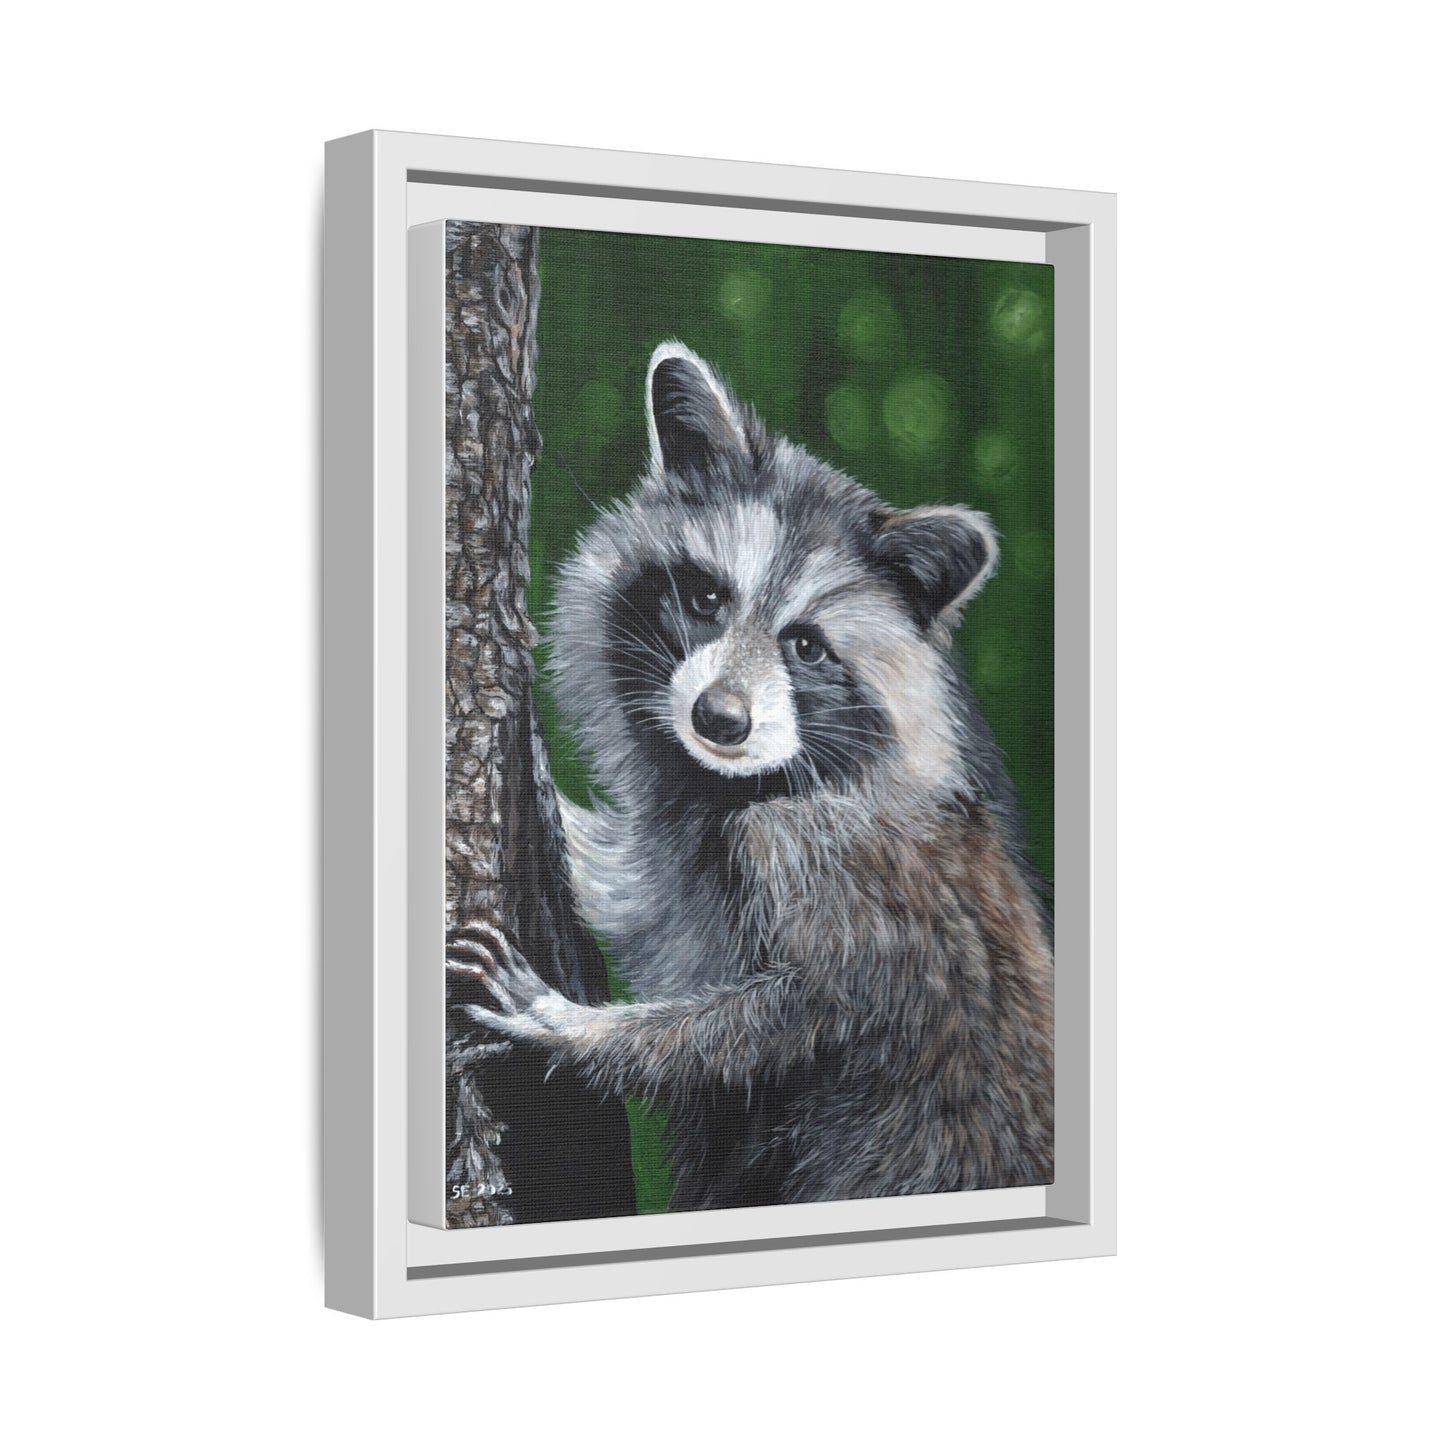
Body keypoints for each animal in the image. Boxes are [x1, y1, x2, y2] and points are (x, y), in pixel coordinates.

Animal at [455, 341, 1054, 1209]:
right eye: (706, 596)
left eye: (805, 646)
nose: (719, 719)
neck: (736, 784)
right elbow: (636, 893)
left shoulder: (834, 860)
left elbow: (788, 1015)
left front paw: (574, 1027)